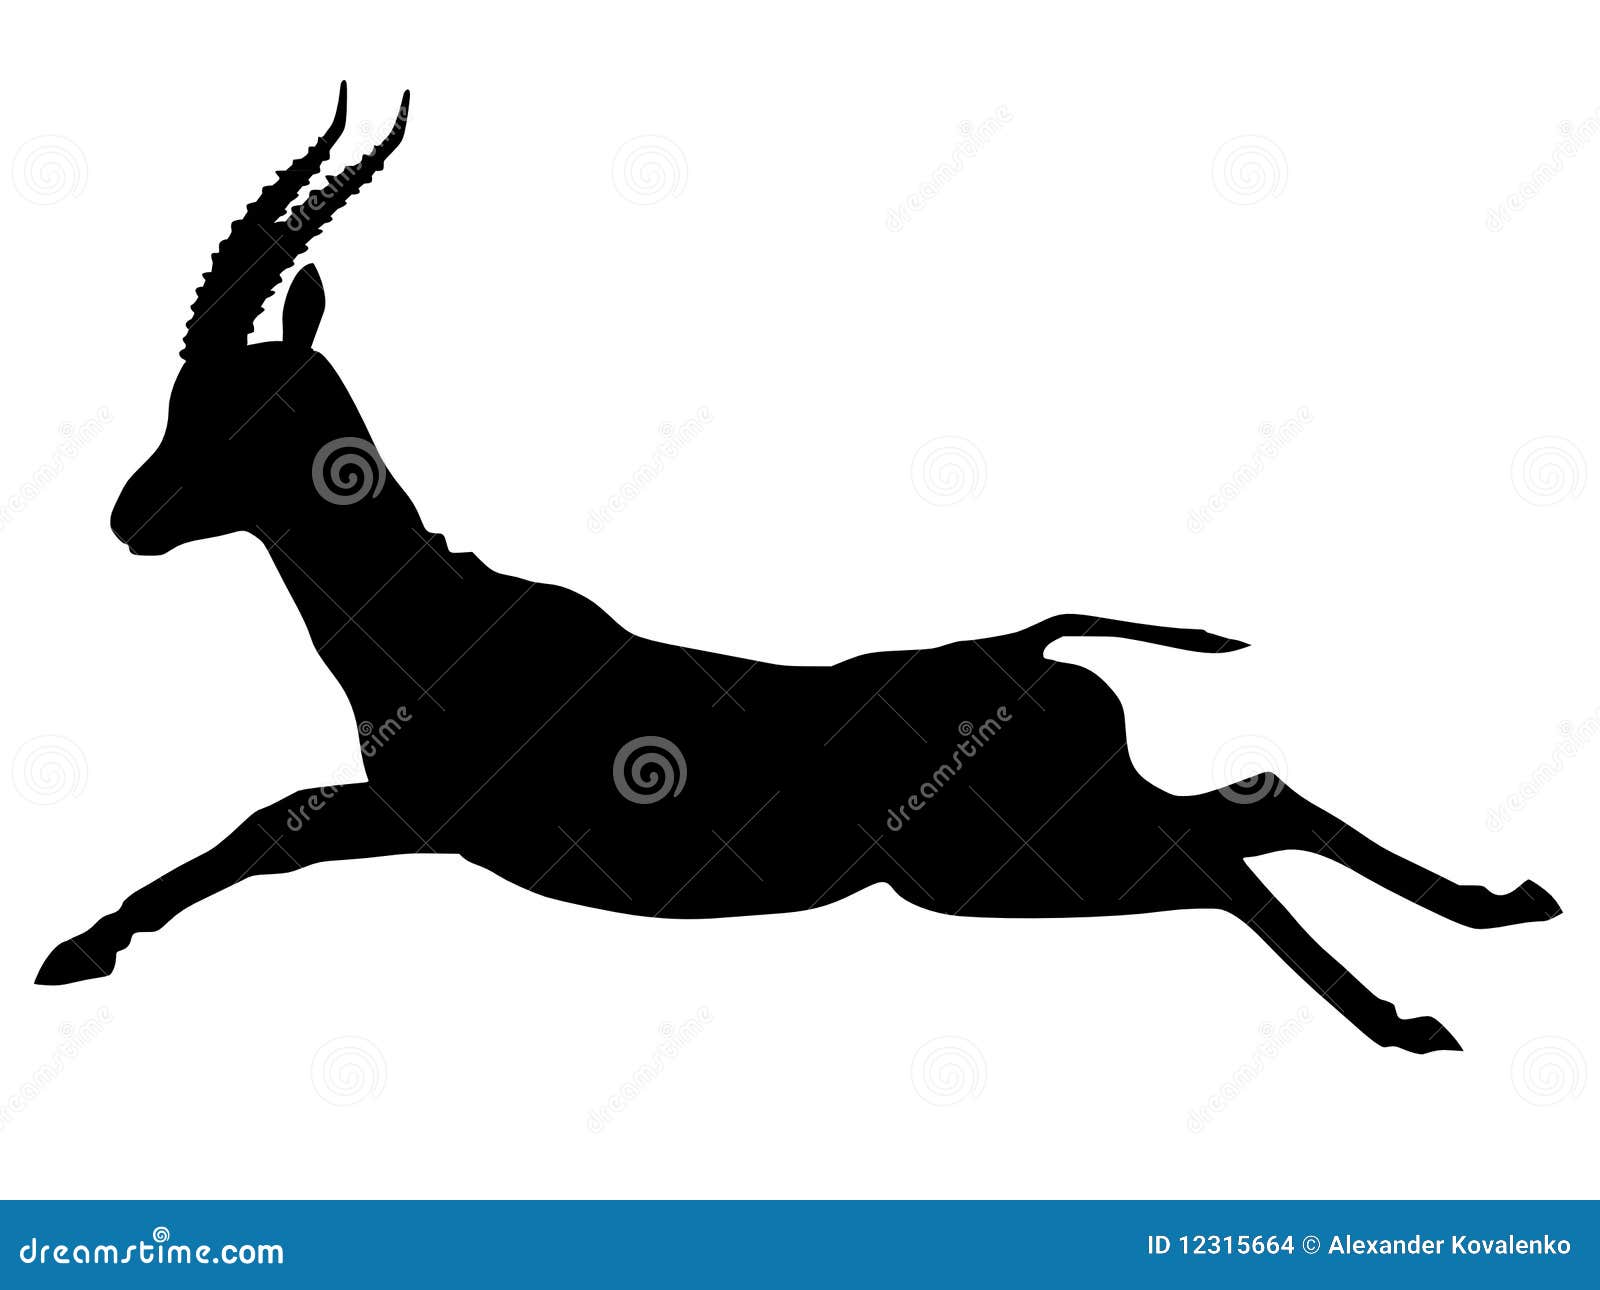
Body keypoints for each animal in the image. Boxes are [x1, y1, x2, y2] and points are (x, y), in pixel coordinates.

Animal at [38, 85, 1562, 1053]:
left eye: (238, 414)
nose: (128, 517)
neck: (436, 626)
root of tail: (1040, 650)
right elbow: (261, 822)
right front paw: (79, 944)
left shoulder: (423, 815)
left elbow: (261, 823)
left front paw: (73, 948)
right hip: (1053, 835)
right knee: (1254, 800)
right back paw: (1503, 907)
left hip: (1002, 864)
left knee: (1214, 847)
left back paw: (1406, 1023)